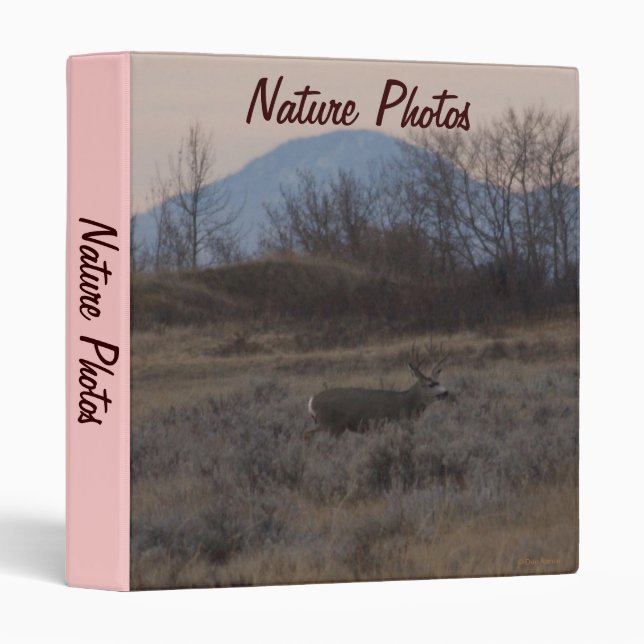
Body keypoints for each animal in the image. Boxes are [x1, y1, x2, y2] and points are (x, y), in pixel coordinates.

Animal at [304, 343, 449, 439]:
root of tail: (311, 401)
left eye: (438, 382)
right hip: (330, 424)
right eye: (430, 384)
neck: (405, 403)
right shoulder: (383, 425)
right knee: (308, 434)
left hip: (332, 426)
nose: (446, 392)